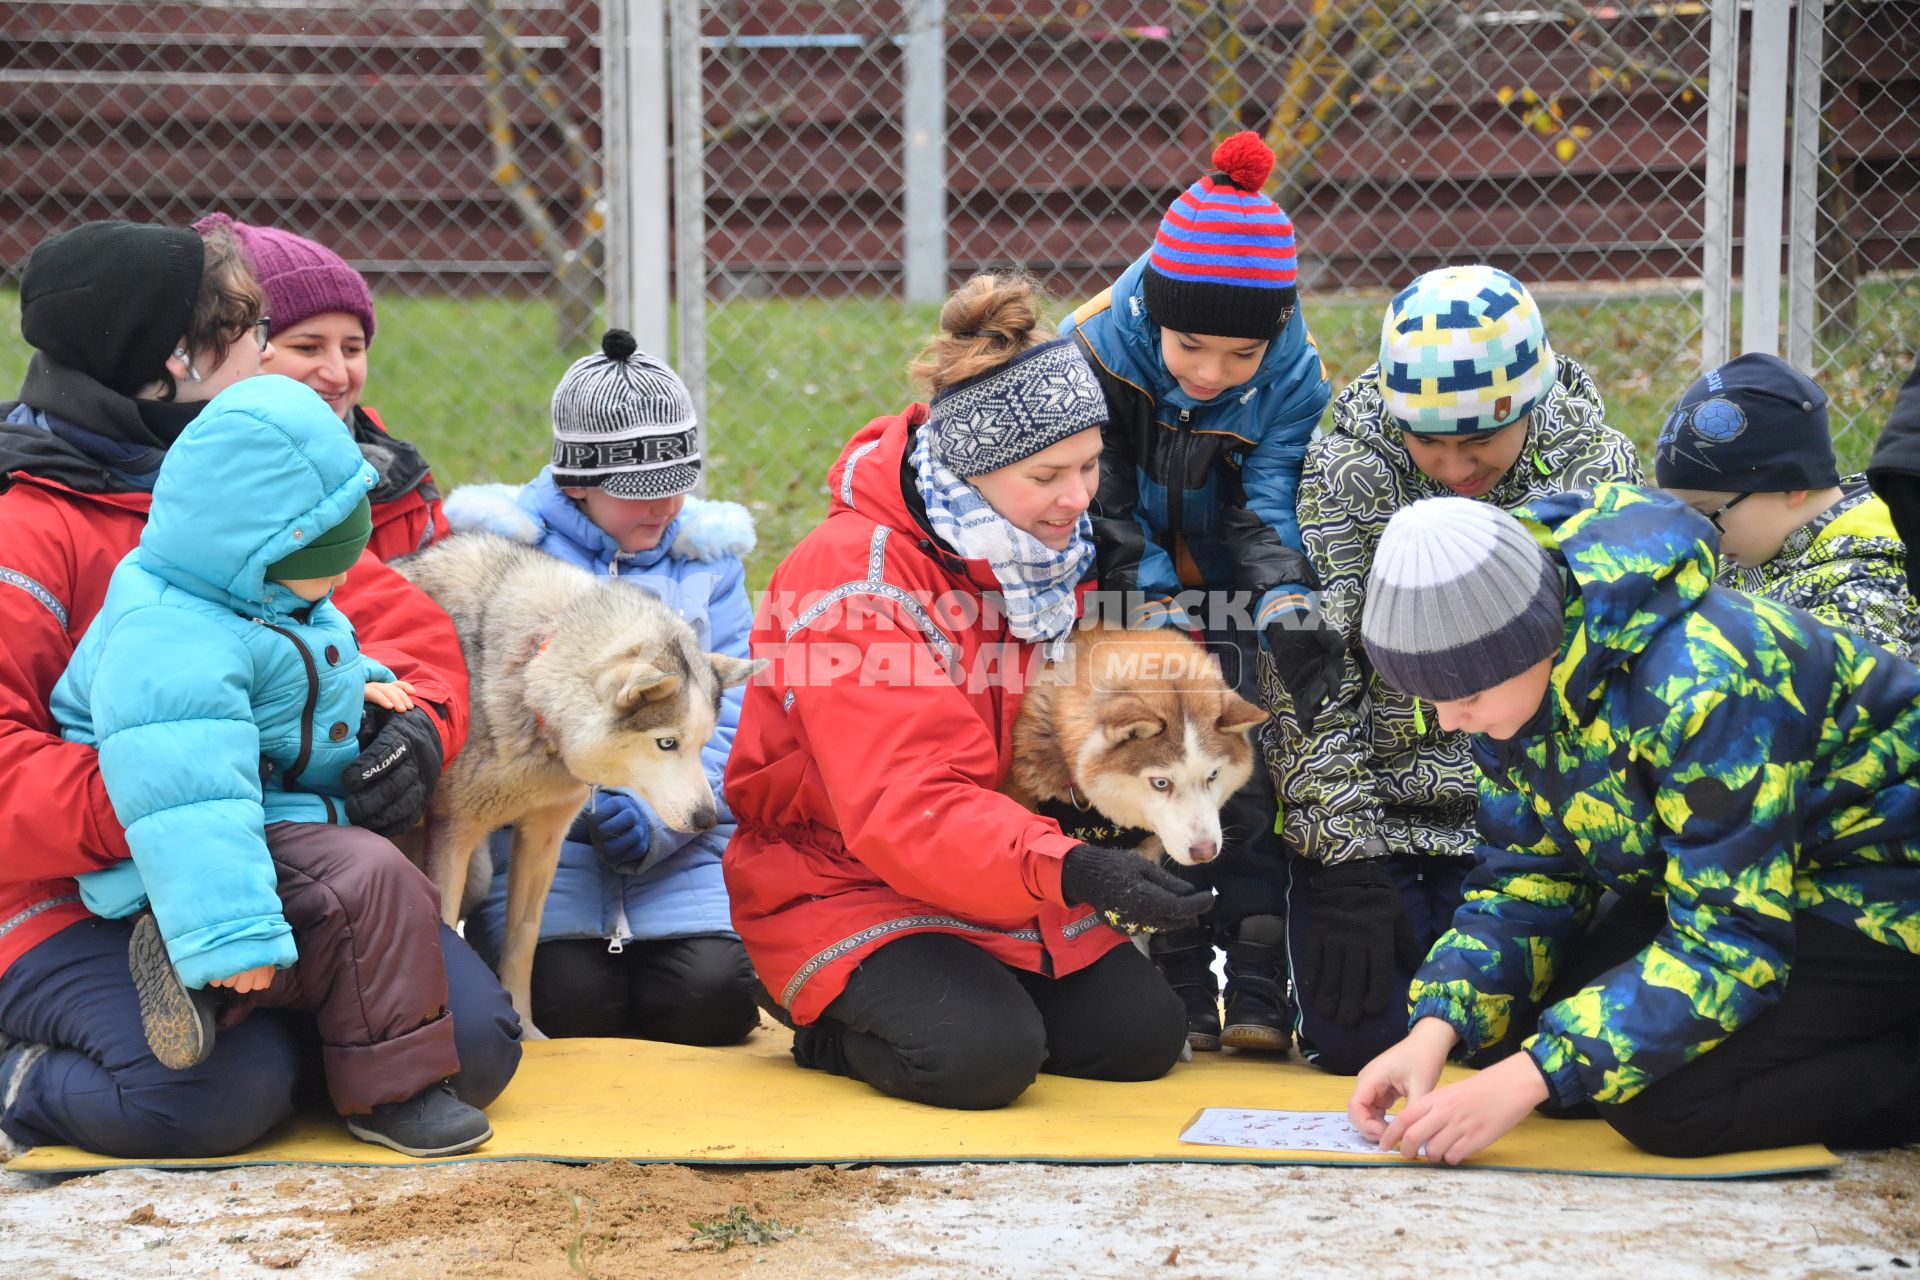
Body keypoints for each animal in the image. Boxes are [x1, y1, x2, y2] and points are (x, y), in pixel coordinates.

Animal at [393, 537, 760, 1036]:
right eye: (667, 743)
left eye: (702, 744)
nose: (706, 820)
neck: (531, 665)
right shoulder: (455, 833)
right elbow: (445, 928)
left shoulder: (544, 839)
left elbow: (522, 946)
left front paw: (528, 1031)